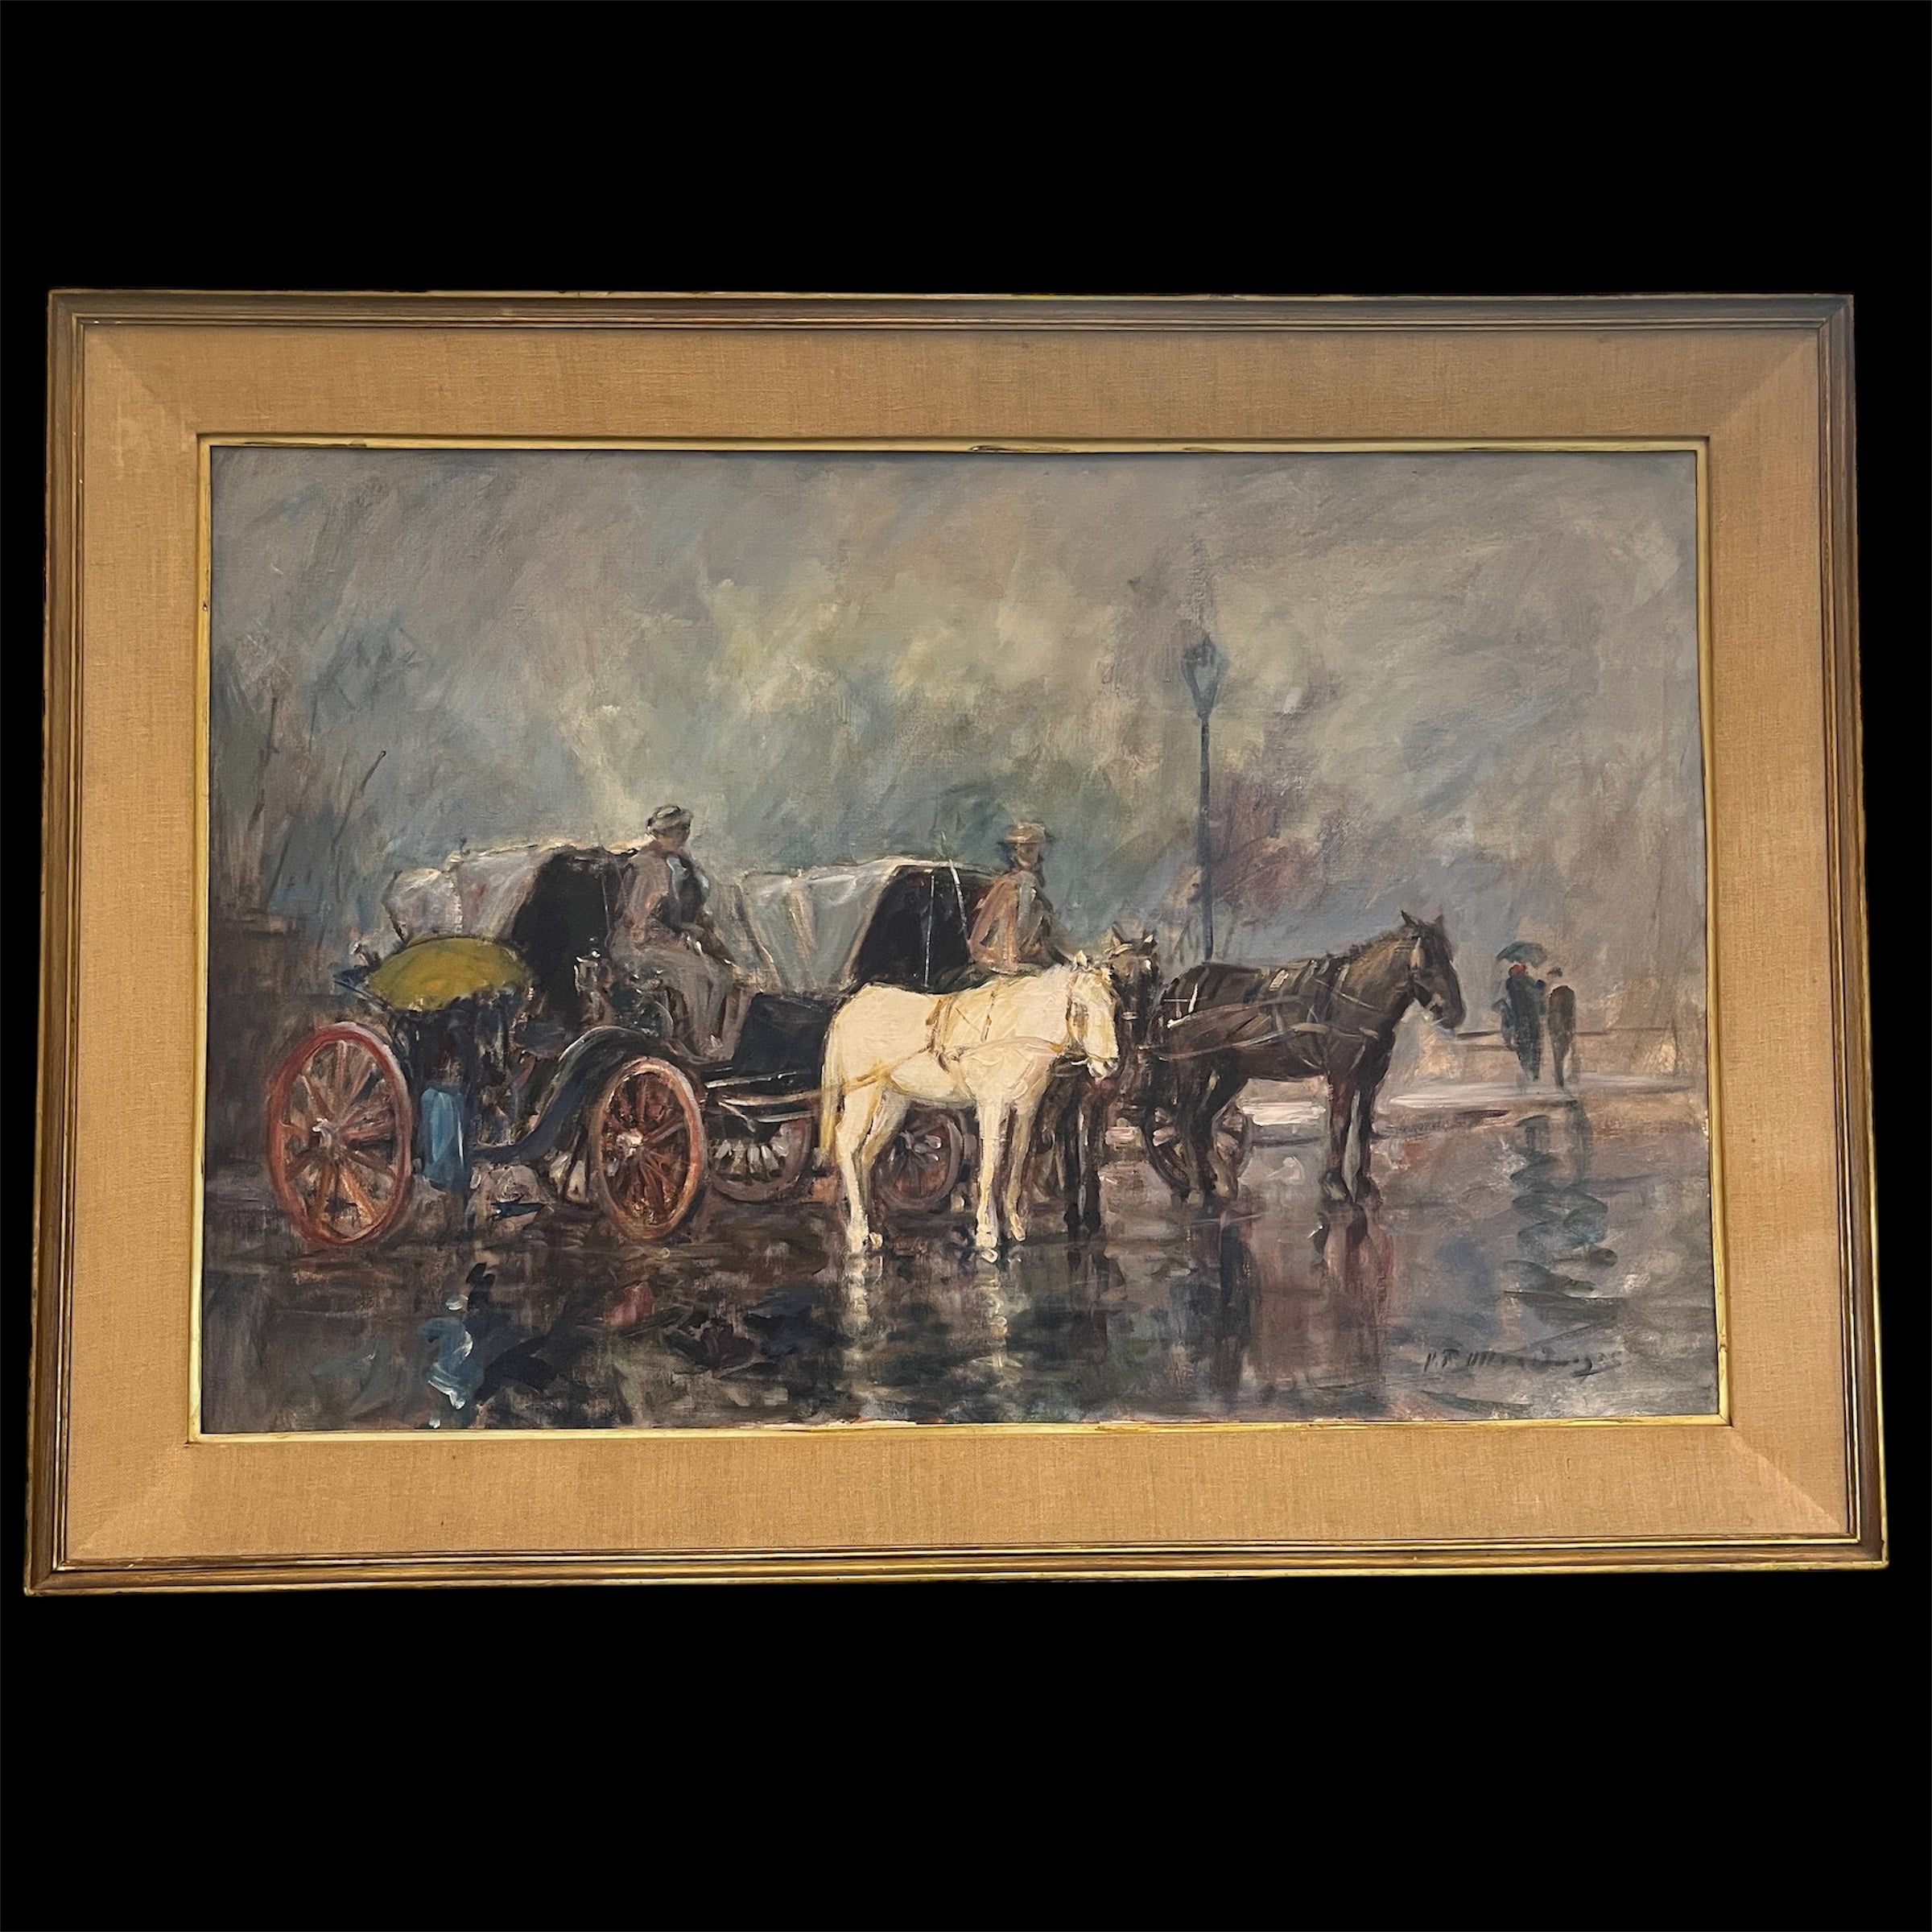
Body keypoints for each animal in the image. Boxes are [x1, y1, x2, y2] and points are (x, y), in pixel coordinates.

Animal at [819, 959, 1120, 1262]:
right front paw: (987, 1233)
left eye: (1112, 1004)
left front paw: (1013, 1226)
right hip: (863, 1092)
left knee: (866, 1154)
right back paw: (858, 1232)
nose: (1110, 1064)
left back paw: (874, 1229)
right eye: (1081, 1009)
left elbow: (1018, 1159)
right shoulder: (992, 1104)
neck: (1016, 1030)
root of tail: (852, 1006)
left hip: (893, 1101)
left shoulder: (1026, 1108)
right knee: (847, 1143)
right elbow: (991, 1164)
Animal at [1147, 912, 1465, 1209]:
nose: (1454, 1012)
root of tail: (1179, 985)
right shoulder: (1343, 1075)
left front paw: (1363, 1185)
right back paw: (1198, 1189)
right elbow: (1339, 1124)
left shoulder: (1371, 1078)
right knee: (1185, 1121)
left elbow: (1363, 1127)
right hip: (1193, 1068)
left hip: (1231, 1073)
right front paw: (1335, 1185)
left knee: (1202, 1121)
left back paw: (1221, 1183)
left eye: (1449, 954)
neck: (1353, 999)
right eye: (1426, 960)